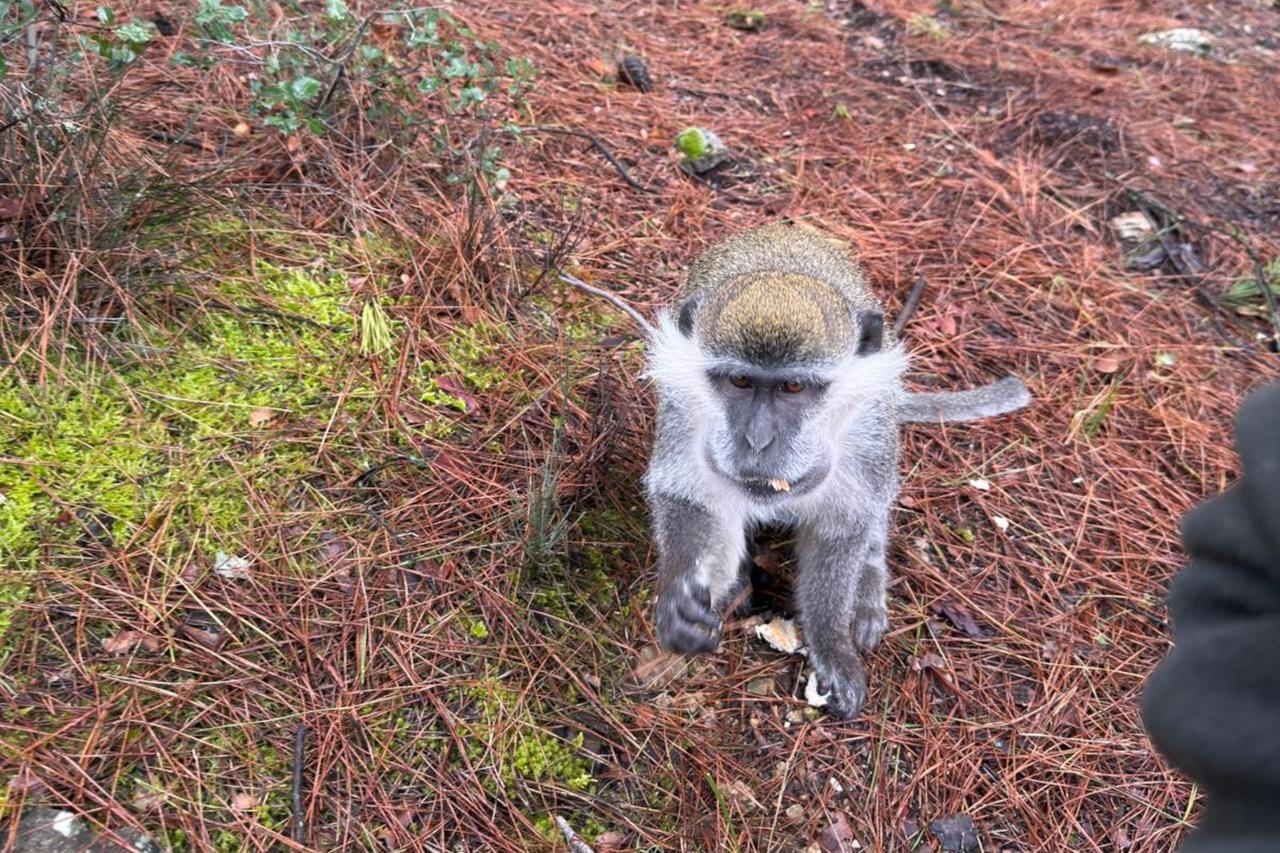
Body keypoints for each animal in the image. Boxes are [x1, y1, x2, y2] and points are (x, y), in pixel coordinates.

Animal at [560, 222, 1030, 719]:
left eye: (793, 387)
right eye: (741, 381)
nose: (758, 440)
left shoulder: (868, 425)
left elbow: (843, 524)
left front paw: (832, 644)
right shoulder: (684, 405)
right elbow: (691, 497)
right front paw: (681, 595)